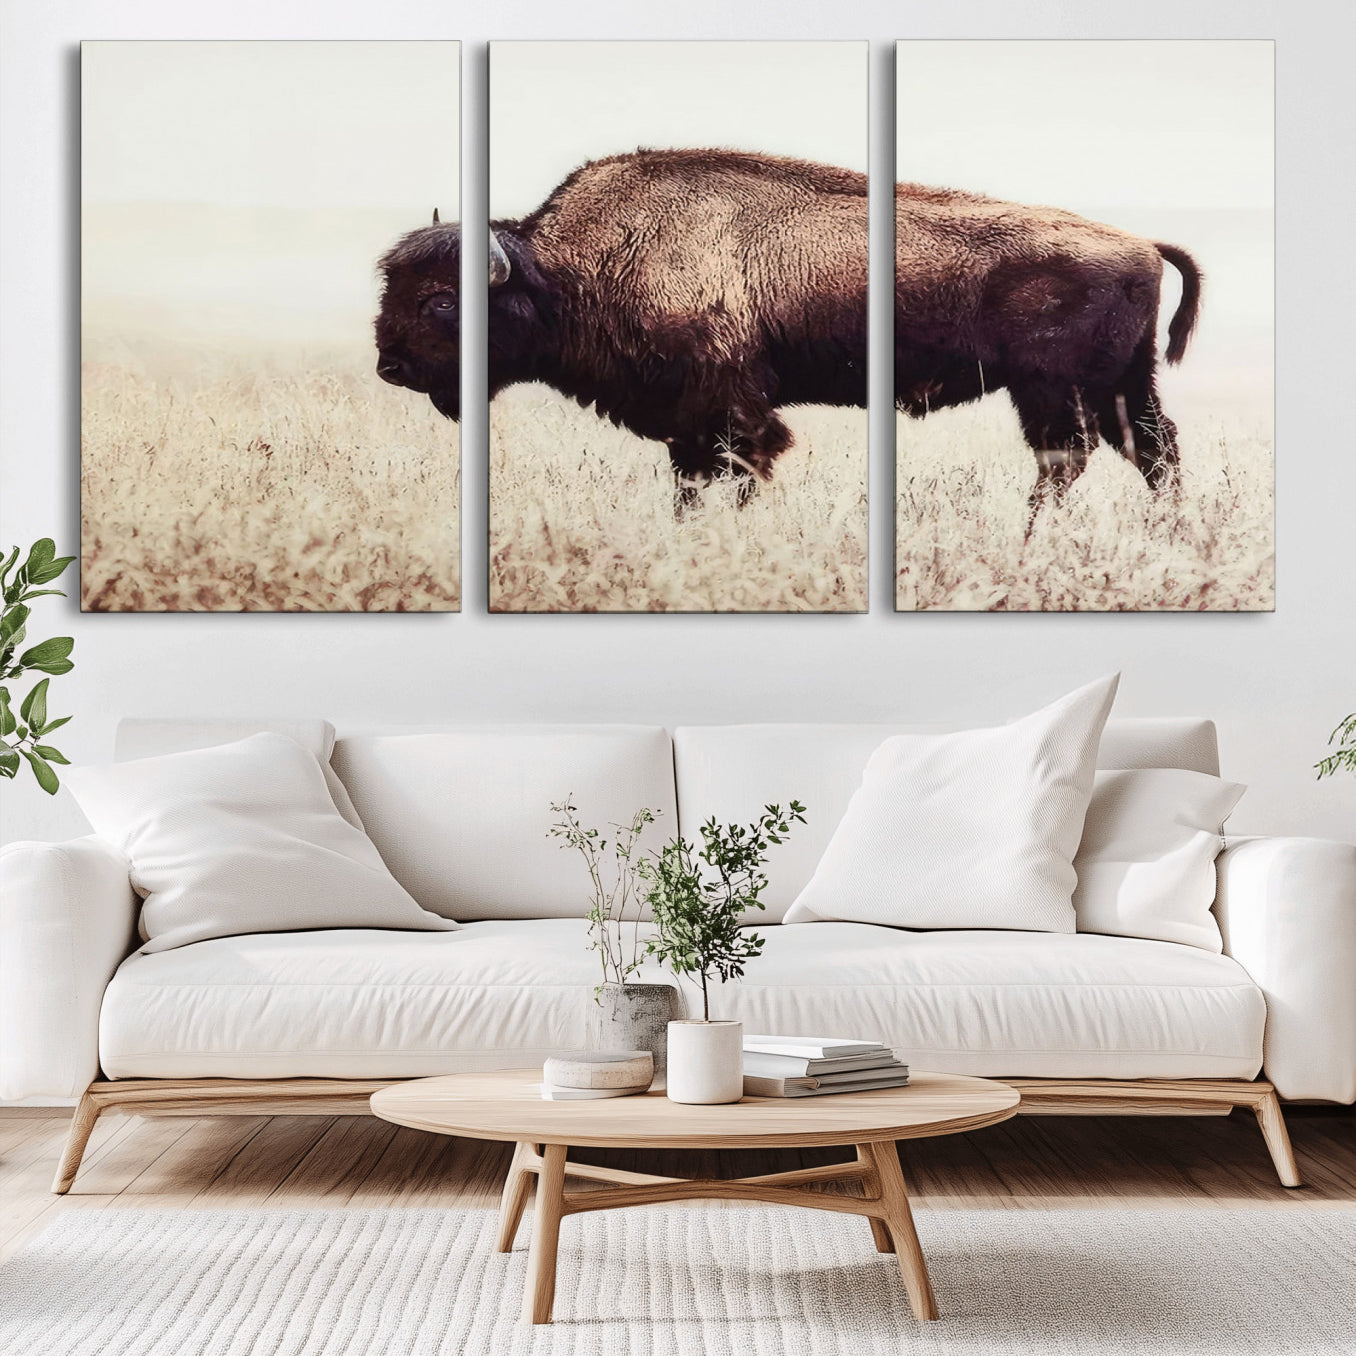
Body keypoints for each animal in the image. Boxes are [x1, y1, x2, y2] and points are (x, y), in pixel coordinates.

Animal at [375, 148, 1200, 515]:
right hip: (1125, 384)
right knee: (1151, 451)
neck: (570, 268)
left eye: (443, 301)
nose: (390, 366)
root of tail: (1142, 243)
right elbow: (692, 478)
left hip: (1052, 389)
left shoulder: (729, 406)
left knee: (1068, 458)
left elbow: (737, 468)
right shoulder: (688, 421)